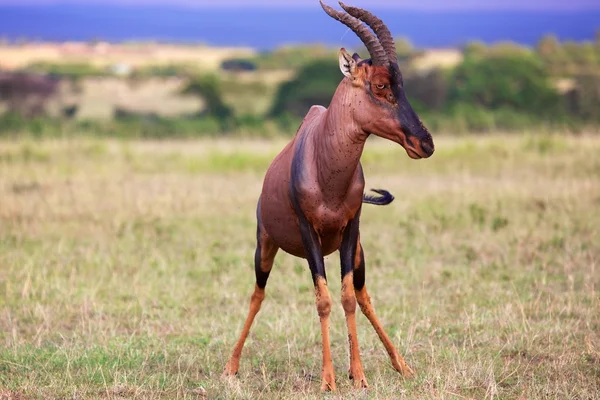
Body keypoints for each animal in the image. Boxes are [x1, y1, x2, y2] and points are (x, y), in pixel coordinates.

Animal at [223, 0, 434, 390]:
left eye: (402, 85)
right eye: (380, 85)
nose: (425, 143)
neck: (325, 164)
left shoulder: (351, 229)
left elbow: (348, 297)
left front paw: (360, 376)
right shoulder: (310, 235)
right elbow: (322, 300)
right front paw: (328, 380)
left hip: (358, 251)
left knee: (363, 294)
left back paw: (401, 365)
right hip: (265, 244)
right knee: (258, 293)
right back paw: (231, 365)